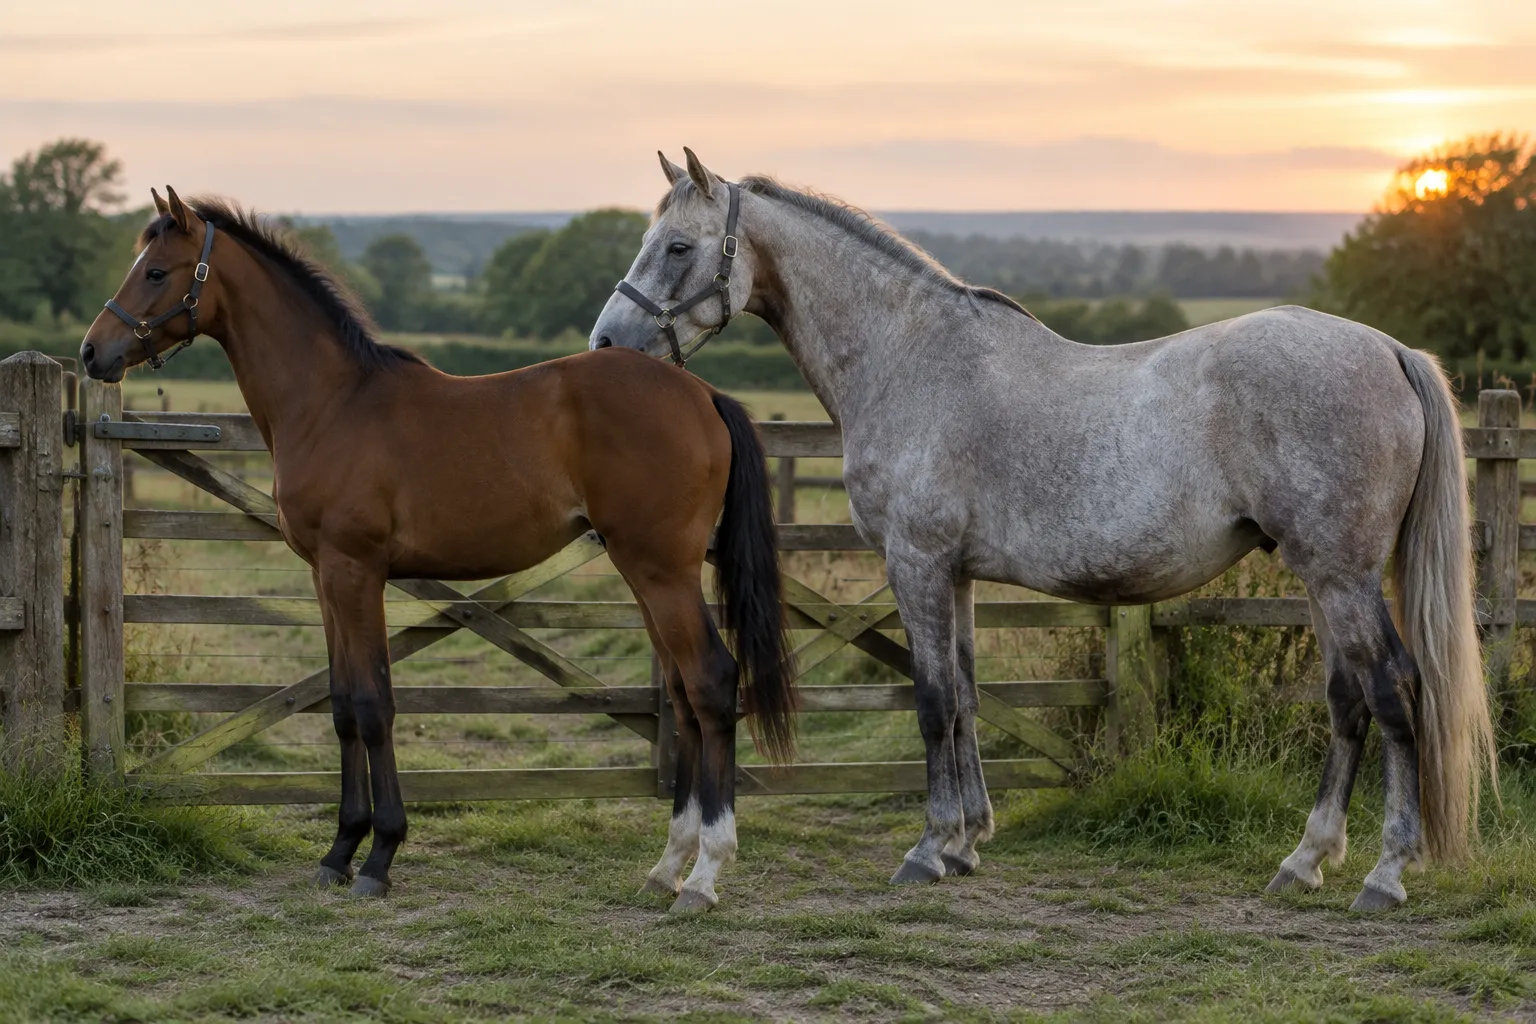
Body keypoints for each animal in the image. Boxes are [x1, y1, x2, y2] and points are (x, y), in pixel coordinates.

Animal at [80, 187, 796, 912]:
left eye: (156, 272)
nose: (91, 353)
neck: (333, 401)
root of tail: (702, 393)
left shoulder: (357, 572)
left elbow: (374, 706)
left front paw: (380, 855)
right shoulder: (325, 578)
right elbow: (342, 705)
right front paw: (339, 851)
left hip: (661, 569)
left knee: (711, 682)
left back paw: (703, 876)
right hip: (646, 570)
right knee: (682, 693)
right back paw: (667, 865)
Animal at [590, 149, 1499, 911]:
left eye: (677, 247)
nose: (605, 343)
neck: (911, 359)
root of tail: (1388, 350)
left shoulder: (916, 565)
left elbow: (931, 703)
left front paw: (926, 850)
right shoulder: (953, 575)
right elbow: (963, 698)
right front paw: (965, 843)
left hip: (1341, 574)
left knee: (1394, 690)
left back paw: (1384, 872)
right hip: (1322, 574)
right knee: (1348, 699)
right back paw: (1305, 860)